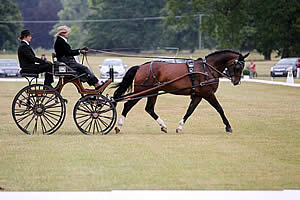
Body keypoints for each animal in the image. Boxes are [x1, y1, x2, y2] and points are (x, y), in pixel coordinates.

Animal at [112, 50, 248, 134]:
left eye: (242, 67)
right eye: (237, 66)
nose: (236, 82)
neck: (207, 68)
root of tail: (141, 66)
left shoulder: (198, 95)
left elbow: (190, 111)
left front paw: (179, 127)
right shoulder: (208, 94)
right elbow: (219, 108)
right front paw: (228, 127)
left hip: (153, 91)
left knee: (149, 109)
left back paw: (163, 126)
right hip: (142, 91)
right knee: (128, 105)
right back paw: (118, 126)